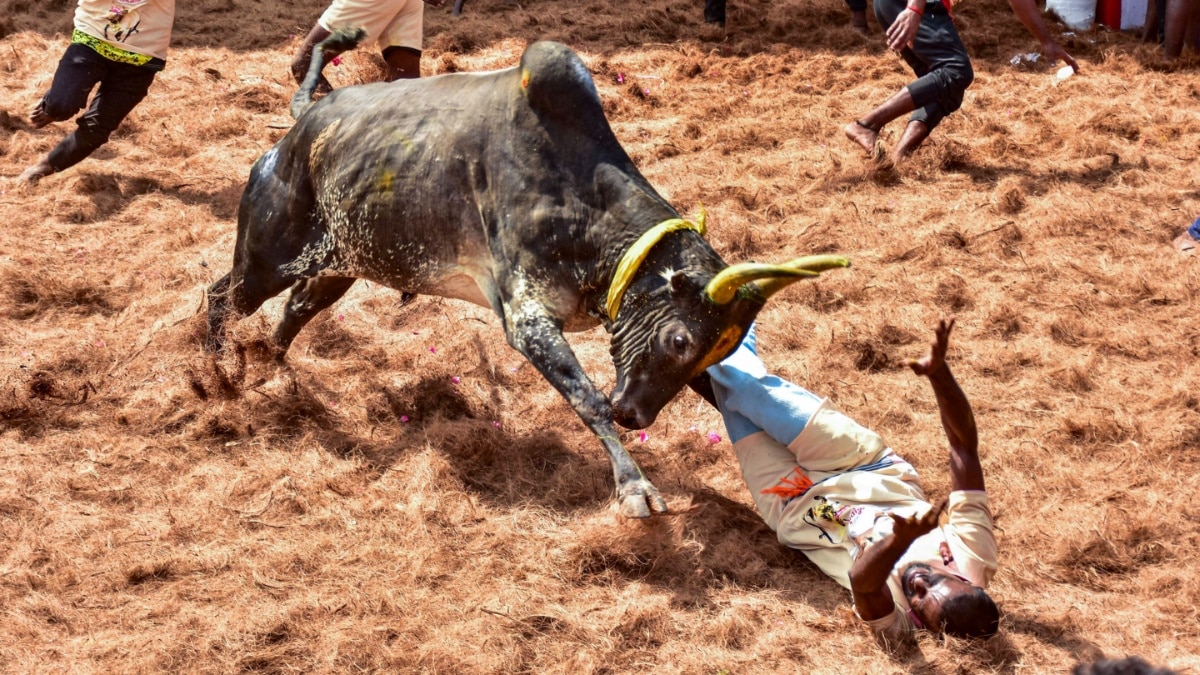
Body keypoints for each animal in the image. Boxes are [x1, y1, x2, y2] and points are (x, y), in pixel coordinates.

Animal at [206, 30, 849, 514]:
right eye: (678, 339)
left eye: (718, 348)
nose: (636, 414)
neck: (589, 210)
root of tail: (303, 124)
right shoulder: (527, 318)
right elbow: (588, 399)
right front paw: (635, 488)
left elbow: (723, 398)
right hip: (267, 257)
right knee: (220, 296)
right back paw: (216, 376)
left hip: (341, 263)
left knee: (294, 311)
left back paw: (271, 370)